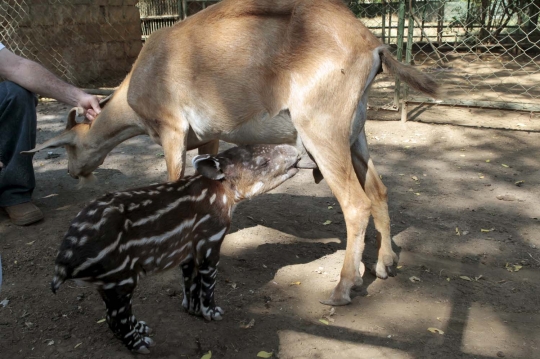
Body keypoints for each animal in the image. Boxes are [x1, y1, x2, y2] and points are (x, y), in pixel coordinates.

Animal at [25, 0, 438, 306]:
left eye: (69, 147)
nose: (73, 172)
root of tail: (373, 45)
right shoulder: (207, 137)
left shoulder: (172, 131)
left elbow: (171, 182)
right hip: (355, 134)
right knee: (379, 191)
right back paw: (385, 265)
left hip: (323, 133)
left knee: (356, 203)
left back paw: (342, 289)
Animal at [50, 144, 300, 354]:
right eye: (263, 163)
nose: (298, 153)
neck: (220, 190)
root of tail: (65, 258)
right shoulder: (210, 239)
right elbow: (209, 281)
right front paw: (212, 312)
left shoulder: (187, 250)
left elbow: (190, 282)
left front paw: (192, 309)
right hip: (118, 276)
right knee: (114, 318)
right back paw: (141, 344)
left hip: (107, 282)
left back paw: (142, 328)